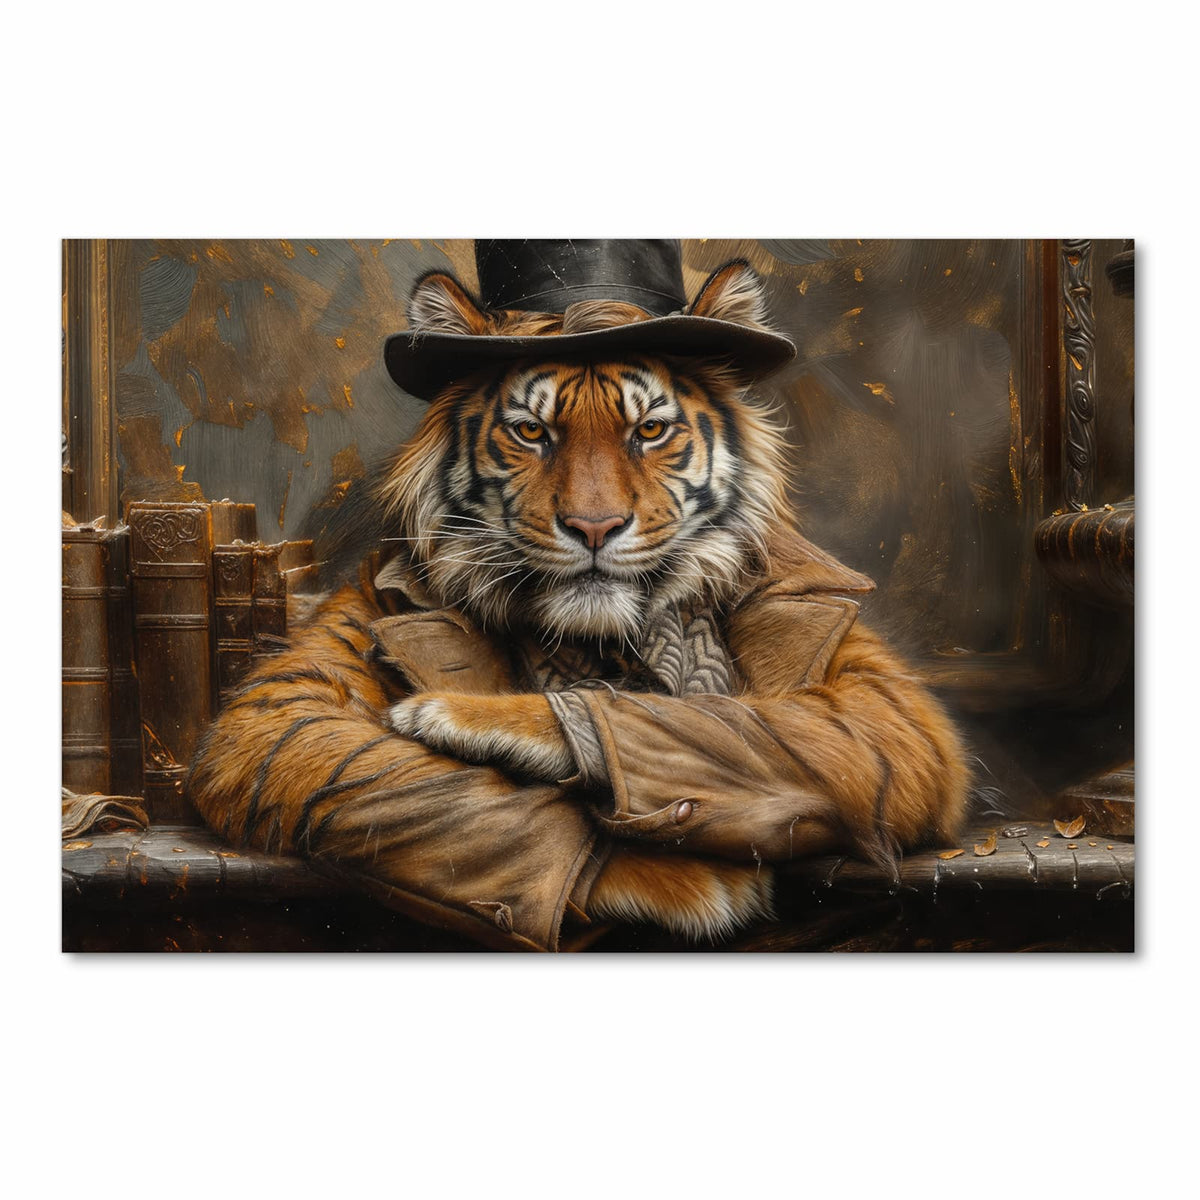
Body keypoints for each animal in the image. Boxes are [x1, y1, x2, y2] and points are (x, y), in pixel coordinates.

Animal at [187, 259, 968, 950]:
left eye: (649, 430)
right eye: (532, 431)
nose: (595, 527)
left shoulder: (890, 712)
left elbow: (709, 720)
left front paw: (446, 712)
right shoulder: (280, 711)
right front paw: (695, 880)